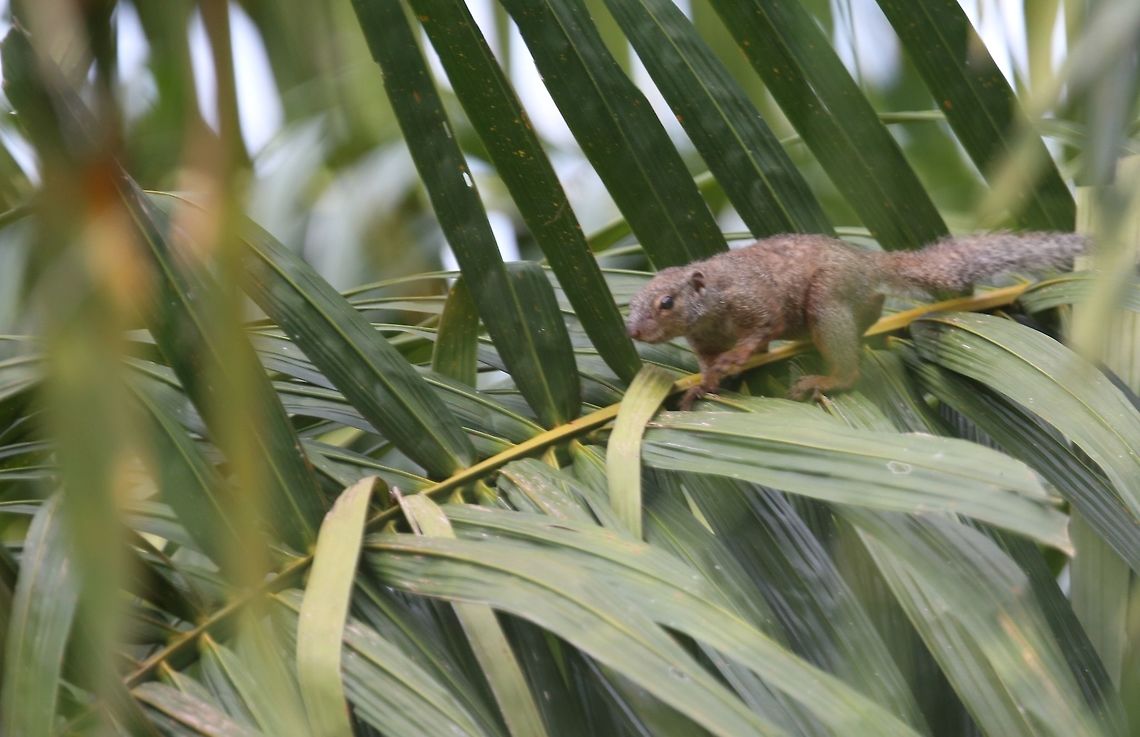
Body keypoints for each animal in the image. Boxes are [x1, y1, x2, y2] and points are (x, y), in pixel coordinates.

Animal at [625, 232, 1086, 408]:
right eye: (629, 305)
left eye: (667, 302)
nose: (632, 330)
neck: (708, 315)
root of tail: (868, 263)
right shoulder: (702, 341)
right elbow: (705, 366)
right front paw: (701, 386)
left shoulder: (750, 300)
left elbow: (761, 329)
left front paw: (733, 361)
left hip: (826, 300)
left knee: (846, 359)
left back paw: (830, 379)